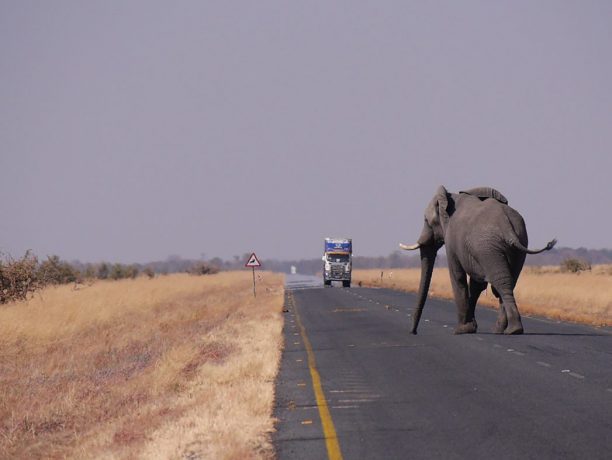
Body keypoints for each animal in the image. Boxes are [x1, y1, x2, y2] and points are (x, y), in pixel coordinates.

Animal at [400, 186, 556, 334]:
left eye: (426, 221)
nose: (413, 332)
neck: (450, 198)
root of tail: (507, 226)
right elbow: (476, 285)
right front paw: (470, 327)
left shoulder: (452, 241)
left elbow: (458, 277)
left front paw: (461, 330)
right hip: (516, 242)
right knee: (508, 282)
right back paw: (504, 330)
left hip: (487, 247)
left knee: (500, 282)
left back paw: (511, 330)